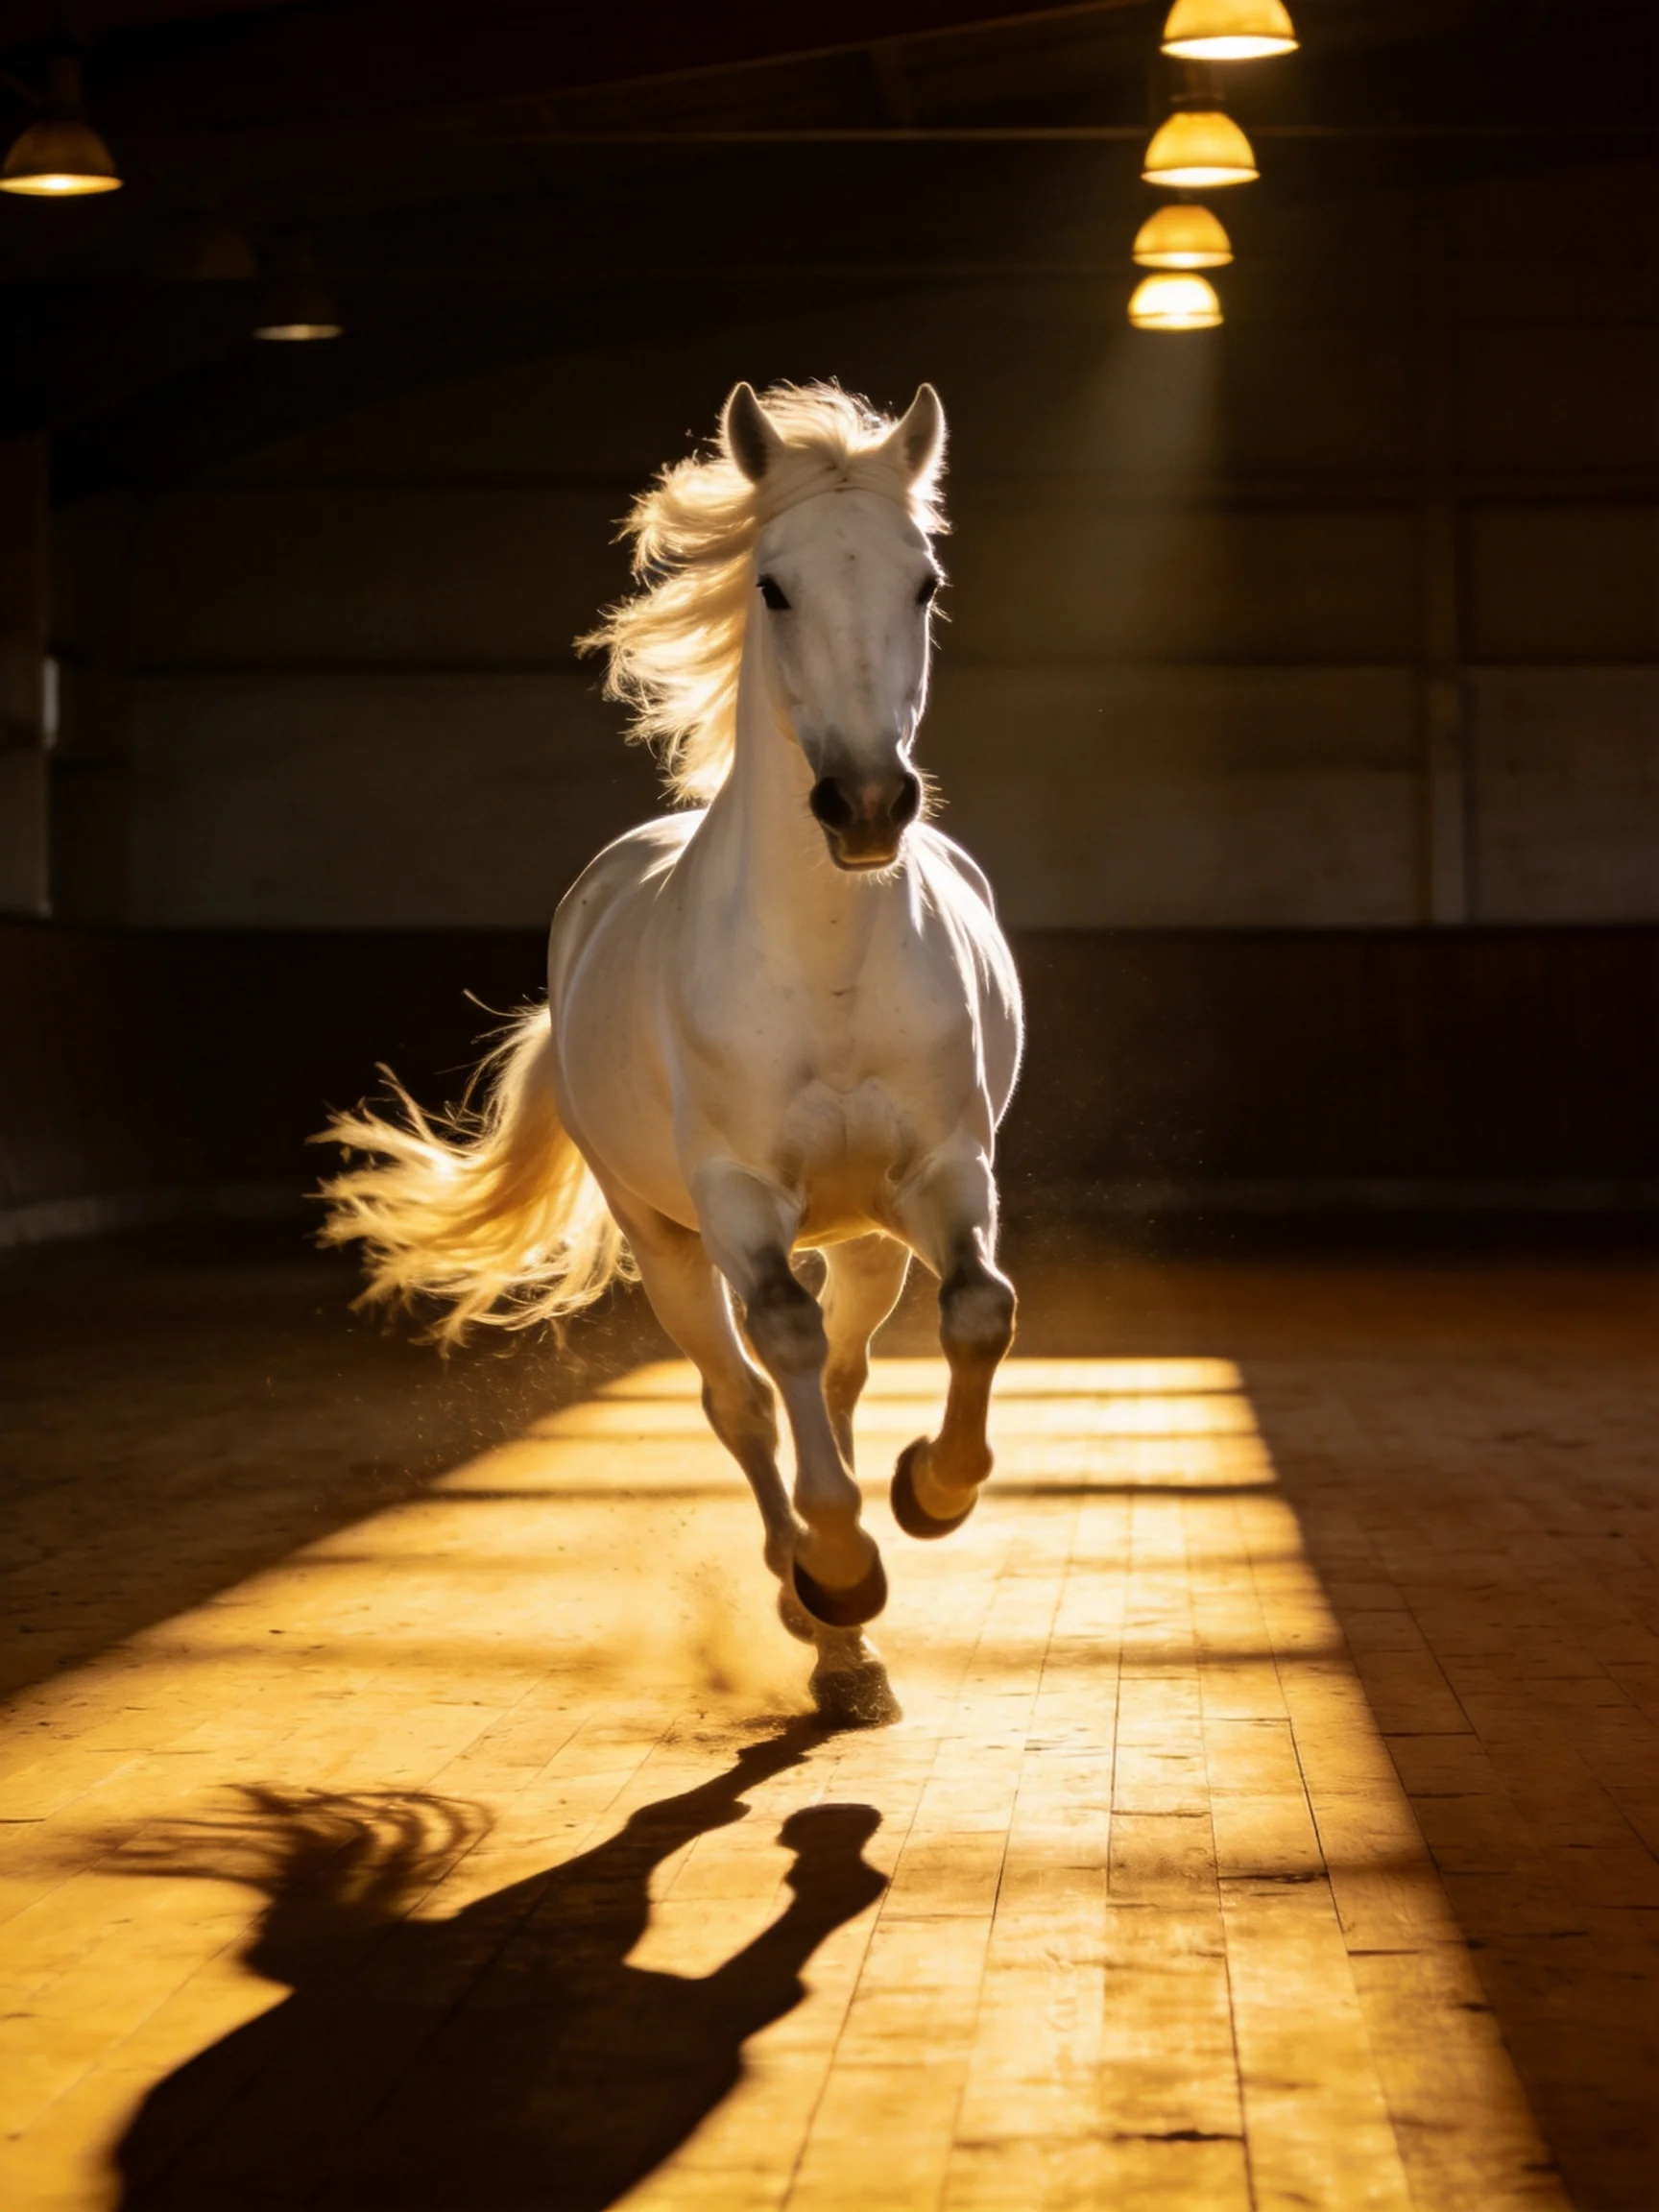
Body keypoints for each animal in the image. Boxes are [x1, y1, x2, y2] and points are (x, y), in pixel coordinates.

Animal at [318, 381, 1022, 1724]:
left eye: (922, 583)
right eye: (776, 588)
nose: (867, 805)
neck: (825, 966)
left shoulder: (945, 1171)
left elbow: (977, 1313)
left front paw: (930, 1492)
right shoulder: (738, 1200)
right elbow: (778, 1350)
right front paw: (840, 1572)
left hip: (865, 1231)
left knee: (842, 1371)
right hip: (667, 1244)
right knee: (743, 1398)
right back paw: (821, 1618)